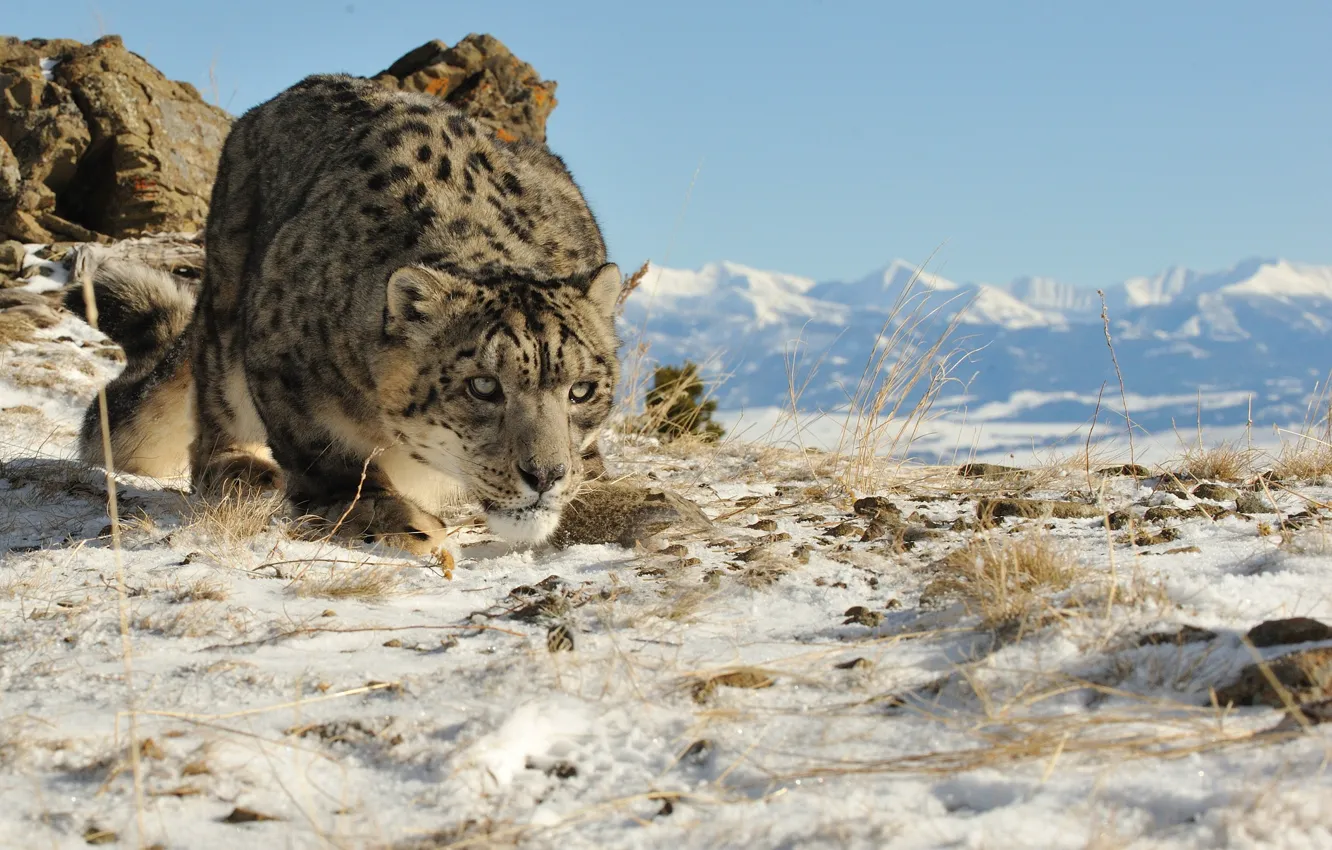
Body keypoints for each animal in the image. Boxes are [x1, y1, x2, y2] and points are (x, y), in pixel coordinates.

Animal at [68, 74, 623, 555]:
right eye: (483, 386)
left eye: (582, 390)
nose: (545, 475)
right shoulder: (281, 361)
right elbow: (329, 456)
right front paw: (396, 520)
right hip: (226, 305)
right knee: (212, 412)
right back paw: (240, 467)